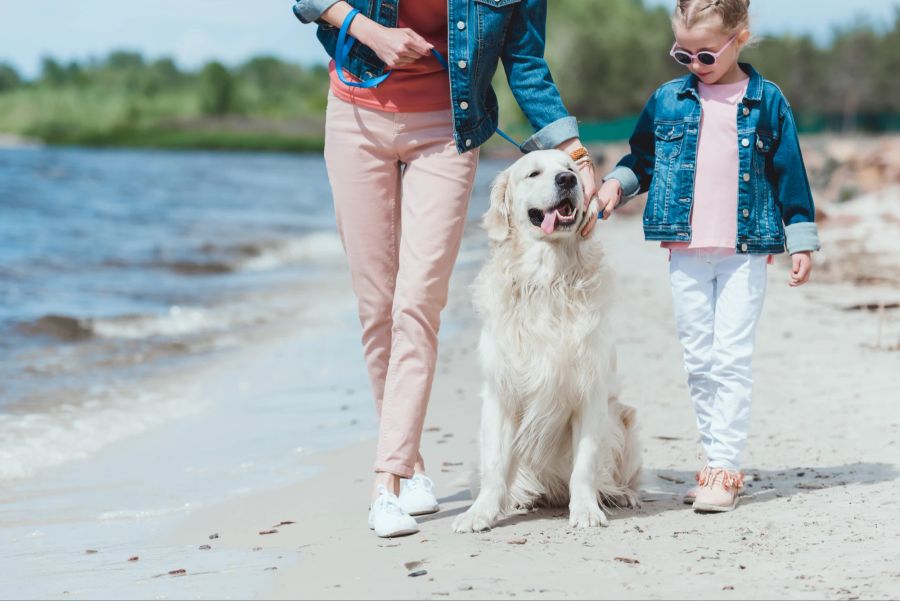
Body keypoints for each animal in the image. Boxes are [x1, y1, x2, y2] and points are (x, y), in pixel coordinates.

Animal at [458, 149, 640, 528]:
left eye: (570, 169)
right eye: (533, 173)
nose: (568, 180)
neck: (548, 279)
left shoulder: (590, 392)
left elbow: (585, 464)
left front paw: (585, 509)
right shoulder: (500, 392)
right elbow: (494, 465)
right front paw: (480, 512)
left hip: (624, 421)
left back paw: (620, 494)